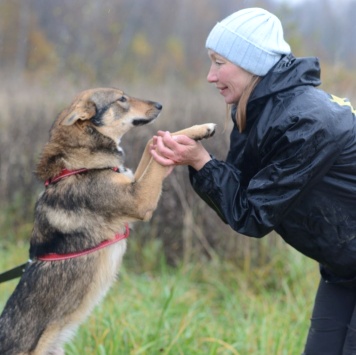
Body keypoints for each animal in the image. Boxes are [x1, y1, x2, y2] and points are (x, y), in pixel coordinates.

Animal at [0, 87, 214, 355]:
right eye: (121, 99)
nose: (160, 105)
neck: (80, 166)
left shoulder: (133, 182)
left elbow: (150, 146)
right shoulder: (139, 199)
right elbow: (155, 160)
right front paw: (203, 128)